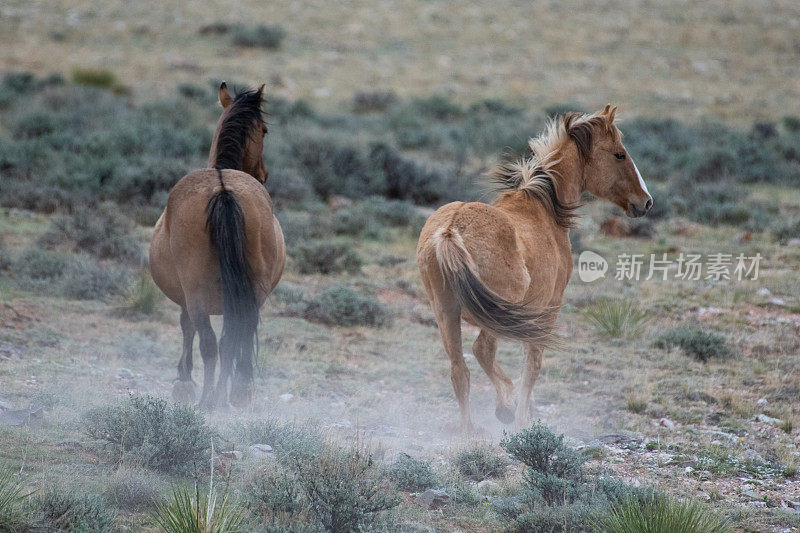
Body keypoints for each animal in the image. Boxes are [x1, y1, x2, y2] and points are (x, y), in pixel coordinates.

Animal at [151, 82, 288, 408]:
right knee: (229, 341)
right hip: (252, 292)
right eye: (265, 130)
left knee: (211, 343)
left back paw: (211, 400)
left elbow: (187, 328)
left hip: (197, 293)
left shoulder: (187, 298)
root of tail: (223, 190)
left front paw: (184, 381)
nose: (264, 174)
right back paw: (231, 396)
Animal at [416, 105, 652, 432]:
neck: (545, 209)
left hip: (446, 313)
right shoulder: (548, 309)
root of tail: (450, 230)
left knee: (459, 371)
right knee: (482, 351)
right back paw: (503, 407)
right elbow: (532, 366)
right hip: (495, 314)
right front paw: (520, 418)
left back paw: (469, 432)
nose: (645, 202)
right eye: (619, 154)